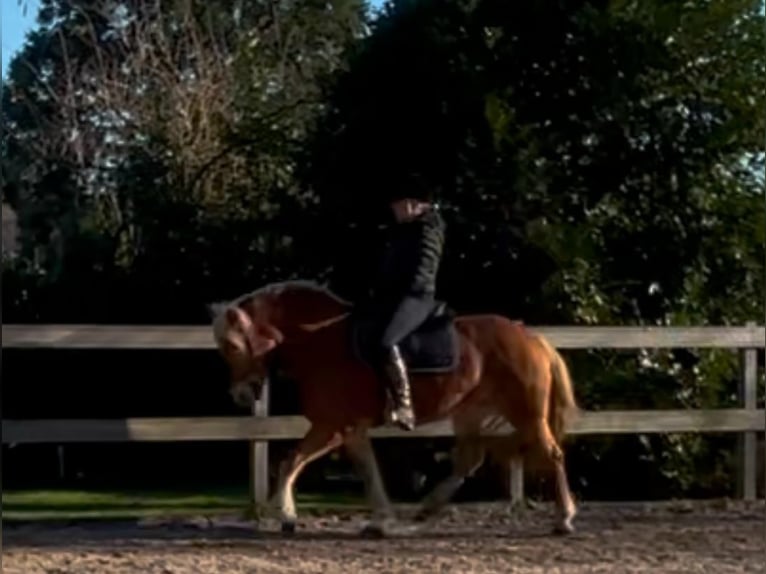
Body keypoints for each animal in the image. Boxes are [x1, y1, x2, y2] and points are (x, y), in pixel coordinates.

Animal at [207, 282, 580, 536]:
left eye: (233, 345)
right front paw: (380, 521)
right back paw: (427, 509)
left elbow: (292, 460)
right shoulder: (348, 429)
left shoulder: (331, 425)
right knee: (470, 458)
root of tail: (531, 338)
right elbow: (366, 469)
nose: (240, 394)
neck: (317, 340)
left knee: (553, 454)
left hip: (527, 414)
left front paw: (285, 514)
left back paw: (563, 519)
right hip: (470, 412)